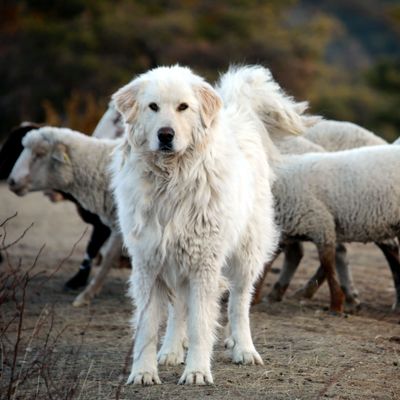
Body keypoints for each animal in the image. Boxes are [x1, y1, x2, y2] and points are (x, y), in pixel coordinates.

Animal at [7, 127, 121, 306]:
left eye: (40, 153)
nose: (12, 181)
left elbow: (109, 256)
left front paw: (85, 295)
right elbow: (110, 256)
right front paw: (88, 294)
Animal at [111, 65, 302, 384]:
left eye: (183, 107)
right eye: (153, 107)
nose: (166, 135)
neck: (171, 180)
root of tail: (237, 112)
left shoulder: (204, 263)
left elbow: (201, 324)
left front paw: (197, 371)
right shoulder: (149, 262)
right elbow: (147, 326)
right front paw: (144, 372)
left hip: (245, 256)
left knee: (239, 304)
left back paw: (244, 350)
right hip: (176, 260)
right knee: (178, 309)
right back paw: (172, 350)